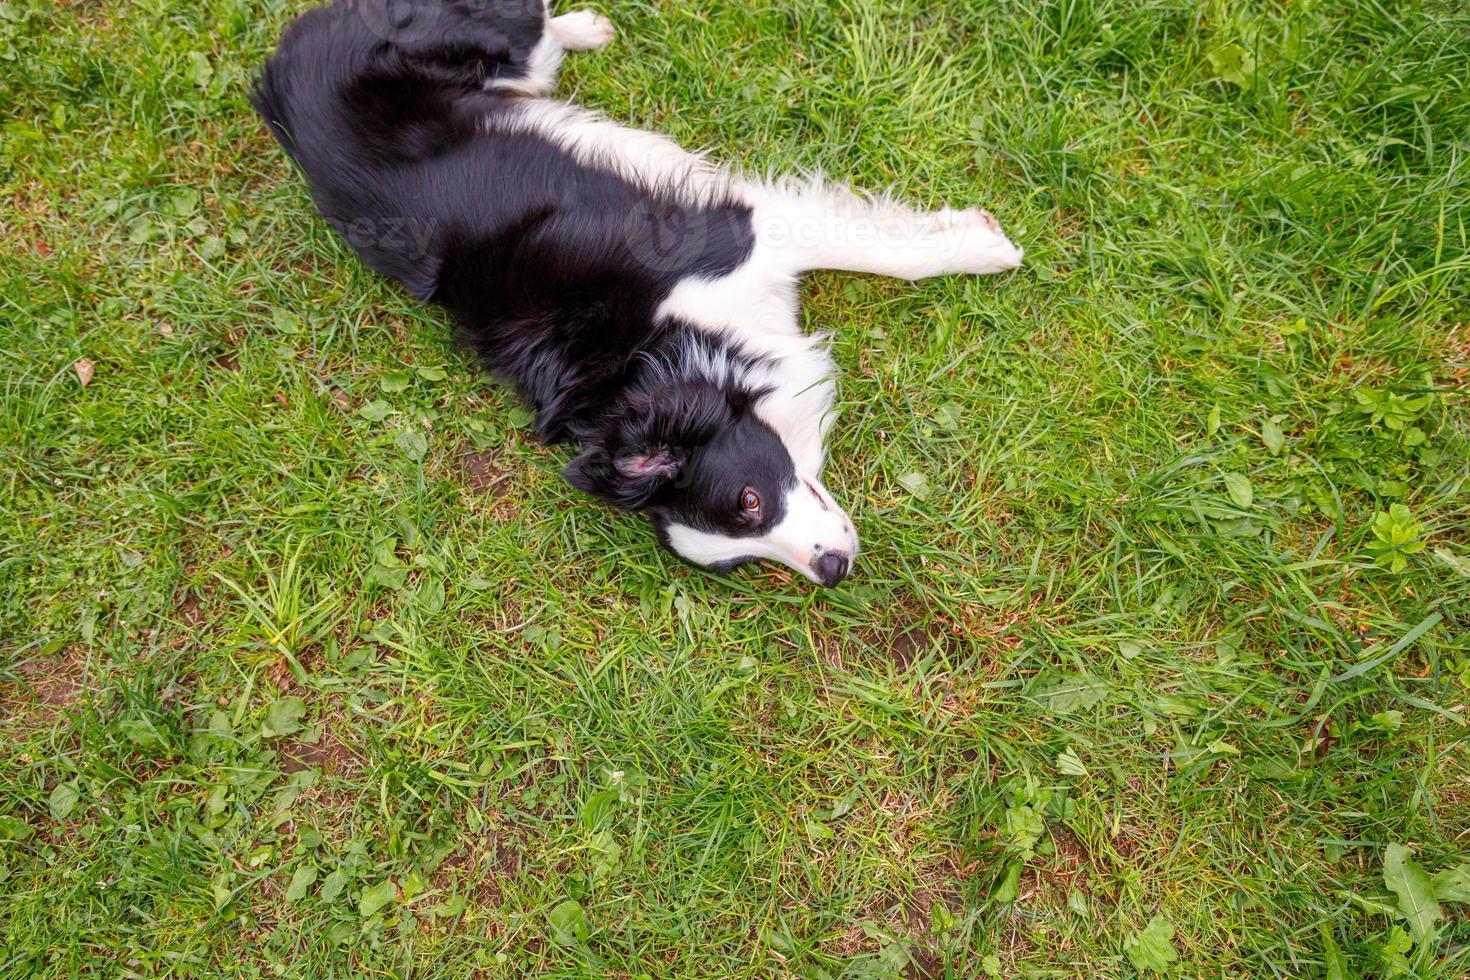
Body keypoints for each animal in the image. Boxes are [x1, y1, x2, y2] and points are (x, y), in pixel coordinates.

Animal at [252, 0, 1023, 587]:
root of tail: (282, 57)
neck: (665, 356)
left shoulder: (747, 232)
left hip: (495, 45)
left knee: (530, 23)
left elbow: (890, 254)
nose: (833, 571)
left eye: (749, 499)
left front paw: (988, 248)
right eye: (742, 555)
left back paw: (581, 24)